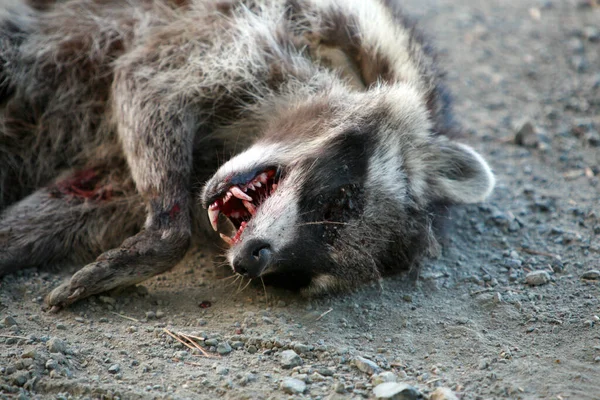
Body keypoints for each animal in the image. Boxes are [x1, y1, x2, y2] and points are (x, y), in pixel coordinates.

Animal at [0, 0, 494, 310]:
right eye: (341, 200)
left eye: (299, 277)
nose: (254, 259)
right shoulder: (238, 32)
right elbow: (147, 76)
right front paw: (165, 233)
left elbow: (80, 198)